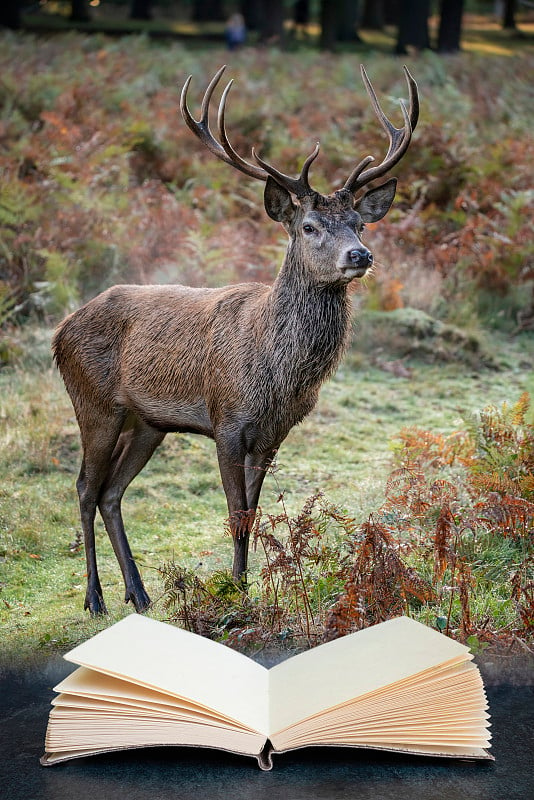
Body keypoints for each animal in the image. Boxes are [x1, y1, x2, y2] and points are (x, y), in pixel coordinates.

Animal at [54, 65, 420, 616]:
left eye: (358, 223)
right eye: (308, 226)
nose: (360, 255)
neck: (276, 372)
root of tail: (60, 331)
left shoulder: (273, 434)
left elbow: (251, 512)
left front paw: (246, 588)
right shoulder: (226, 421)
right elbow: (233, 512)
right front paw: (235, 594)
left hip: (148, 422)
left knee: (111, 492)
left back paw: (139, 593)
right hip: (94, 403)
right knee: (83, 486)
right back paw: (95, 598)